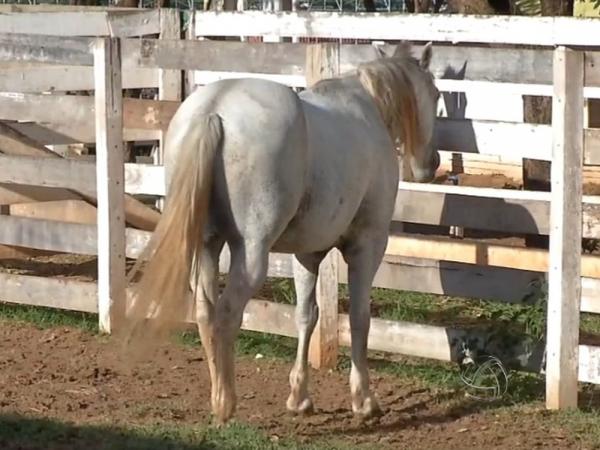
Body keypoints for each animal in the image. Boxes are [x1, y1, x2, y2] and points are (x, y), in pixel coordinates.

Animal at [124, 40, 438, 424]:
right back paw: (225, 402)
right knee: (226, 314)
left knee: (205, 312)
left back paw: (218, 396)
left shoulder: (307, 254)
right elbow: (360, 319)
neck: (368, 108)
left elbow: (306, 316)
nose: (431, 164)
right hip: (251, 253)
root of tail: (214, 111)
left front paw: (299, 396)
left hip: (207, 245)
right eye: (437, 94)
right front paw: (364, 400)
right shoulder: (368, 245)